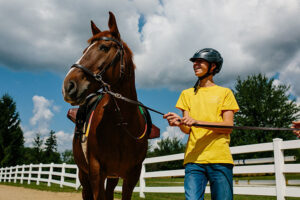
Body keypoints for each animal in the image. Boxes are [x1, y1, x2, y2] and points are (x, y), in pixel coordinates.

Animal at [61, 11, 148, 199]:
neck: (122, 124)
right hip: (84, 174)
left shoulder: (132, 176)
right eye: (84, 51)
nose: (68, 86)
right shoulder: (96, 173)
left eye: (104, 48)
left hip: (113, 177)